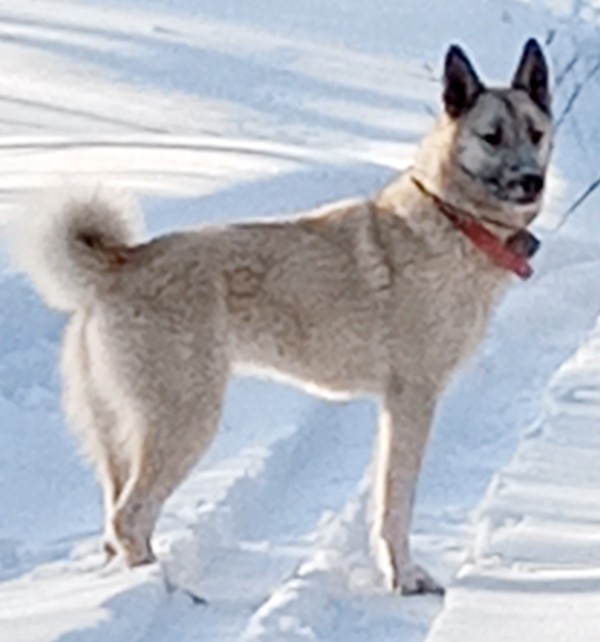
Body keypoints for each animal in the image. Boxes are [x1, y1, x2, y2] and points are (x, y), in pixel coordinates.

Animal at [11, 38, 552, 595]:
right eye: (491, 136)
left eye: (536, 133)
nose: (531, 182)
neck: (454, 219)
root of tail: (120, 263)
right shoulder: (413, 400)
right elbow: (395, 506)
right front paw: (404, 579)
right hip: (185, 418)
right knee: (129, 517)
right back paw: (167, 590)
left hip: (120, 432)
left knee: (115, 521)